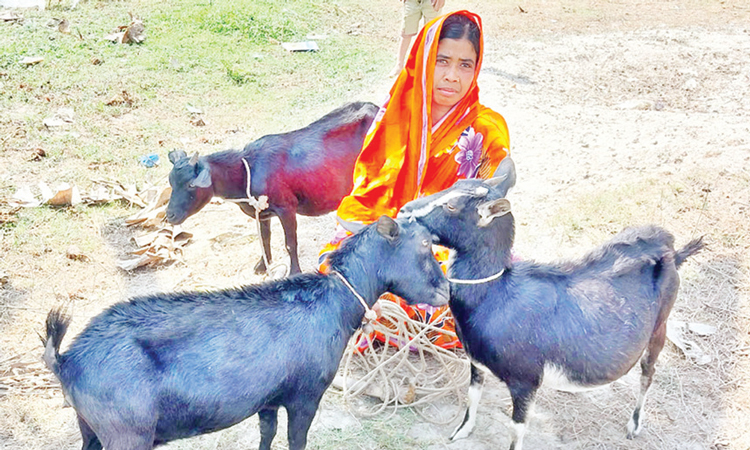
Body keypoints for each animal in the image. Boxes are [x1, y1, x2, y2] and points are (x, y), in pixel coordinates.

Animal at [41, 216, 446, 448]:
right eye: (426, 243)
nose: (445, 290)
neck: (333, 301)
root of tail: (66, 360)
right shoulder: (305, 395)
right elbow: (296, 439)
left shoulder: (268, 399)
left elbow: (267, 433)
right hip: (127, 433)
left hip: (91, 429)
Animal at [167, 101, 378, 274]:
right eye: (171, 182)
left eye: (191, 184)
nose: (170, 215)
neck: (247, 171)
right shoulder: (262, 212)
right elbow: (264, 238)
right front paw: (262, 265)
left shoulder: (287, 208)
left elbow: (290, 243)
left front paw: (294, 272)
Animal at [402, 161, 708, 450]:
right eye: (454, 184)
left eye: (451, 206)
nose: (405, 210)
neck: (495, 296)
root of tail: (672, 250)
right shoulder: (476, 362)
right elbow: (472, 396)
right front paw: (461, 432)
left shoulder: (526, 380)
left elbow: (517, 427)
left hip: (660, 325)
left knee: (648, 372)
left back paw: (634, 425)